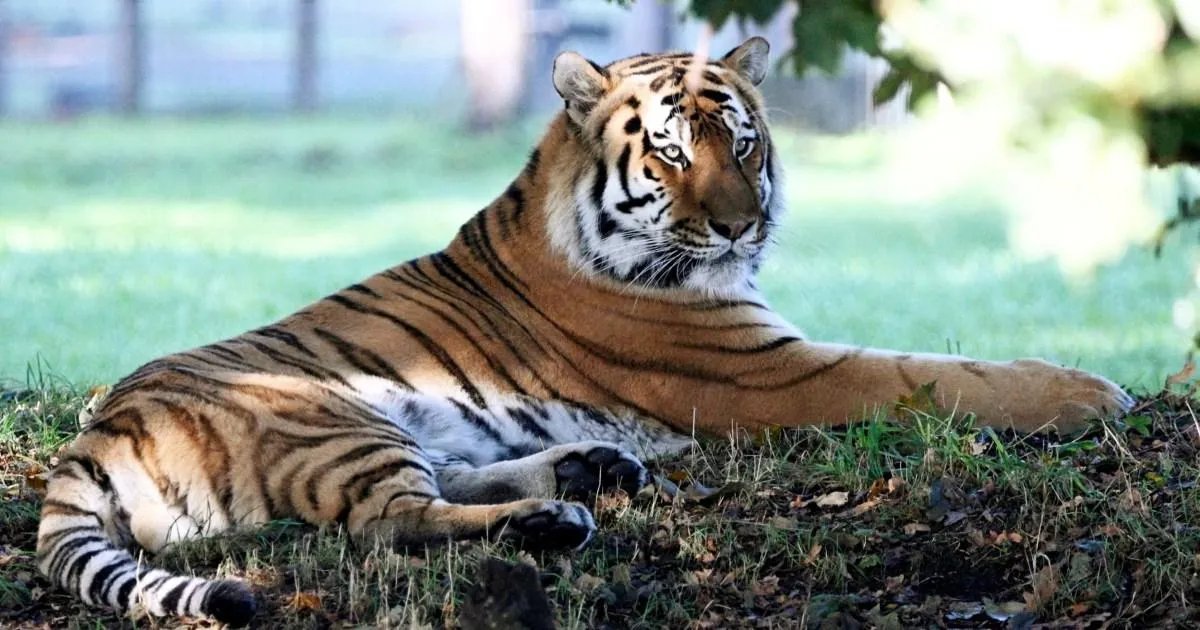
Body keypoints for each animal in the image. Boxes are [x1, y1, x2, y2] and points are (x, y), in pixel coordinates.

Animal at [36, 37, 1132, 626]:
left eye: (744, 143)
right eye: (673, 151)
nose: (741, 225)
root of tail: (90, 437)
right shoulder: (774, 371)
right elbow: (938, 374)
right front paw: (1091, 391)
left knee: (440, 485)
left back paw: (587, 470)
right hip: (326, 415)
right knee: (390, 522)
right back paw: (554, 517)